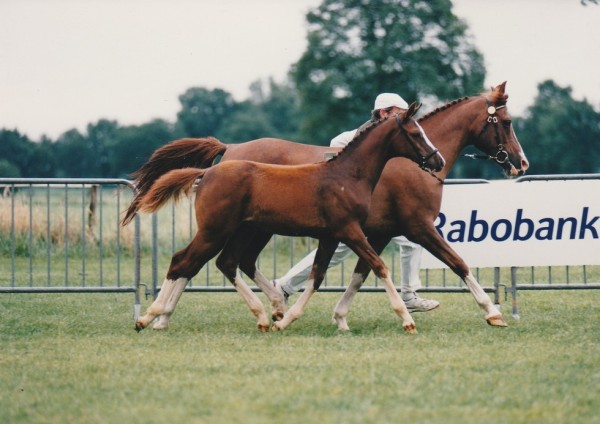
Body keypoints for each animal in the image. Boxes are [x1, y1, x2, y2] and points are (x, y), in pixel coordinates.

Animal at [124, 80, 528, 332]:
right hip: (233, 228)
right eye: (507, 122)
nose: (521, 164)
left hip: (251, 229)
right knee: (197, 262)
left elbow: (358, 274)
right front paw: (492, 312)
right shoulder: (416, 227)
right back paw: (160, 315)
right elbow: (456, 262)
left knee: (225, 262)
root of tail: (226, 153)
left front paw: (341, 316)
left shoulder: (376, 232)